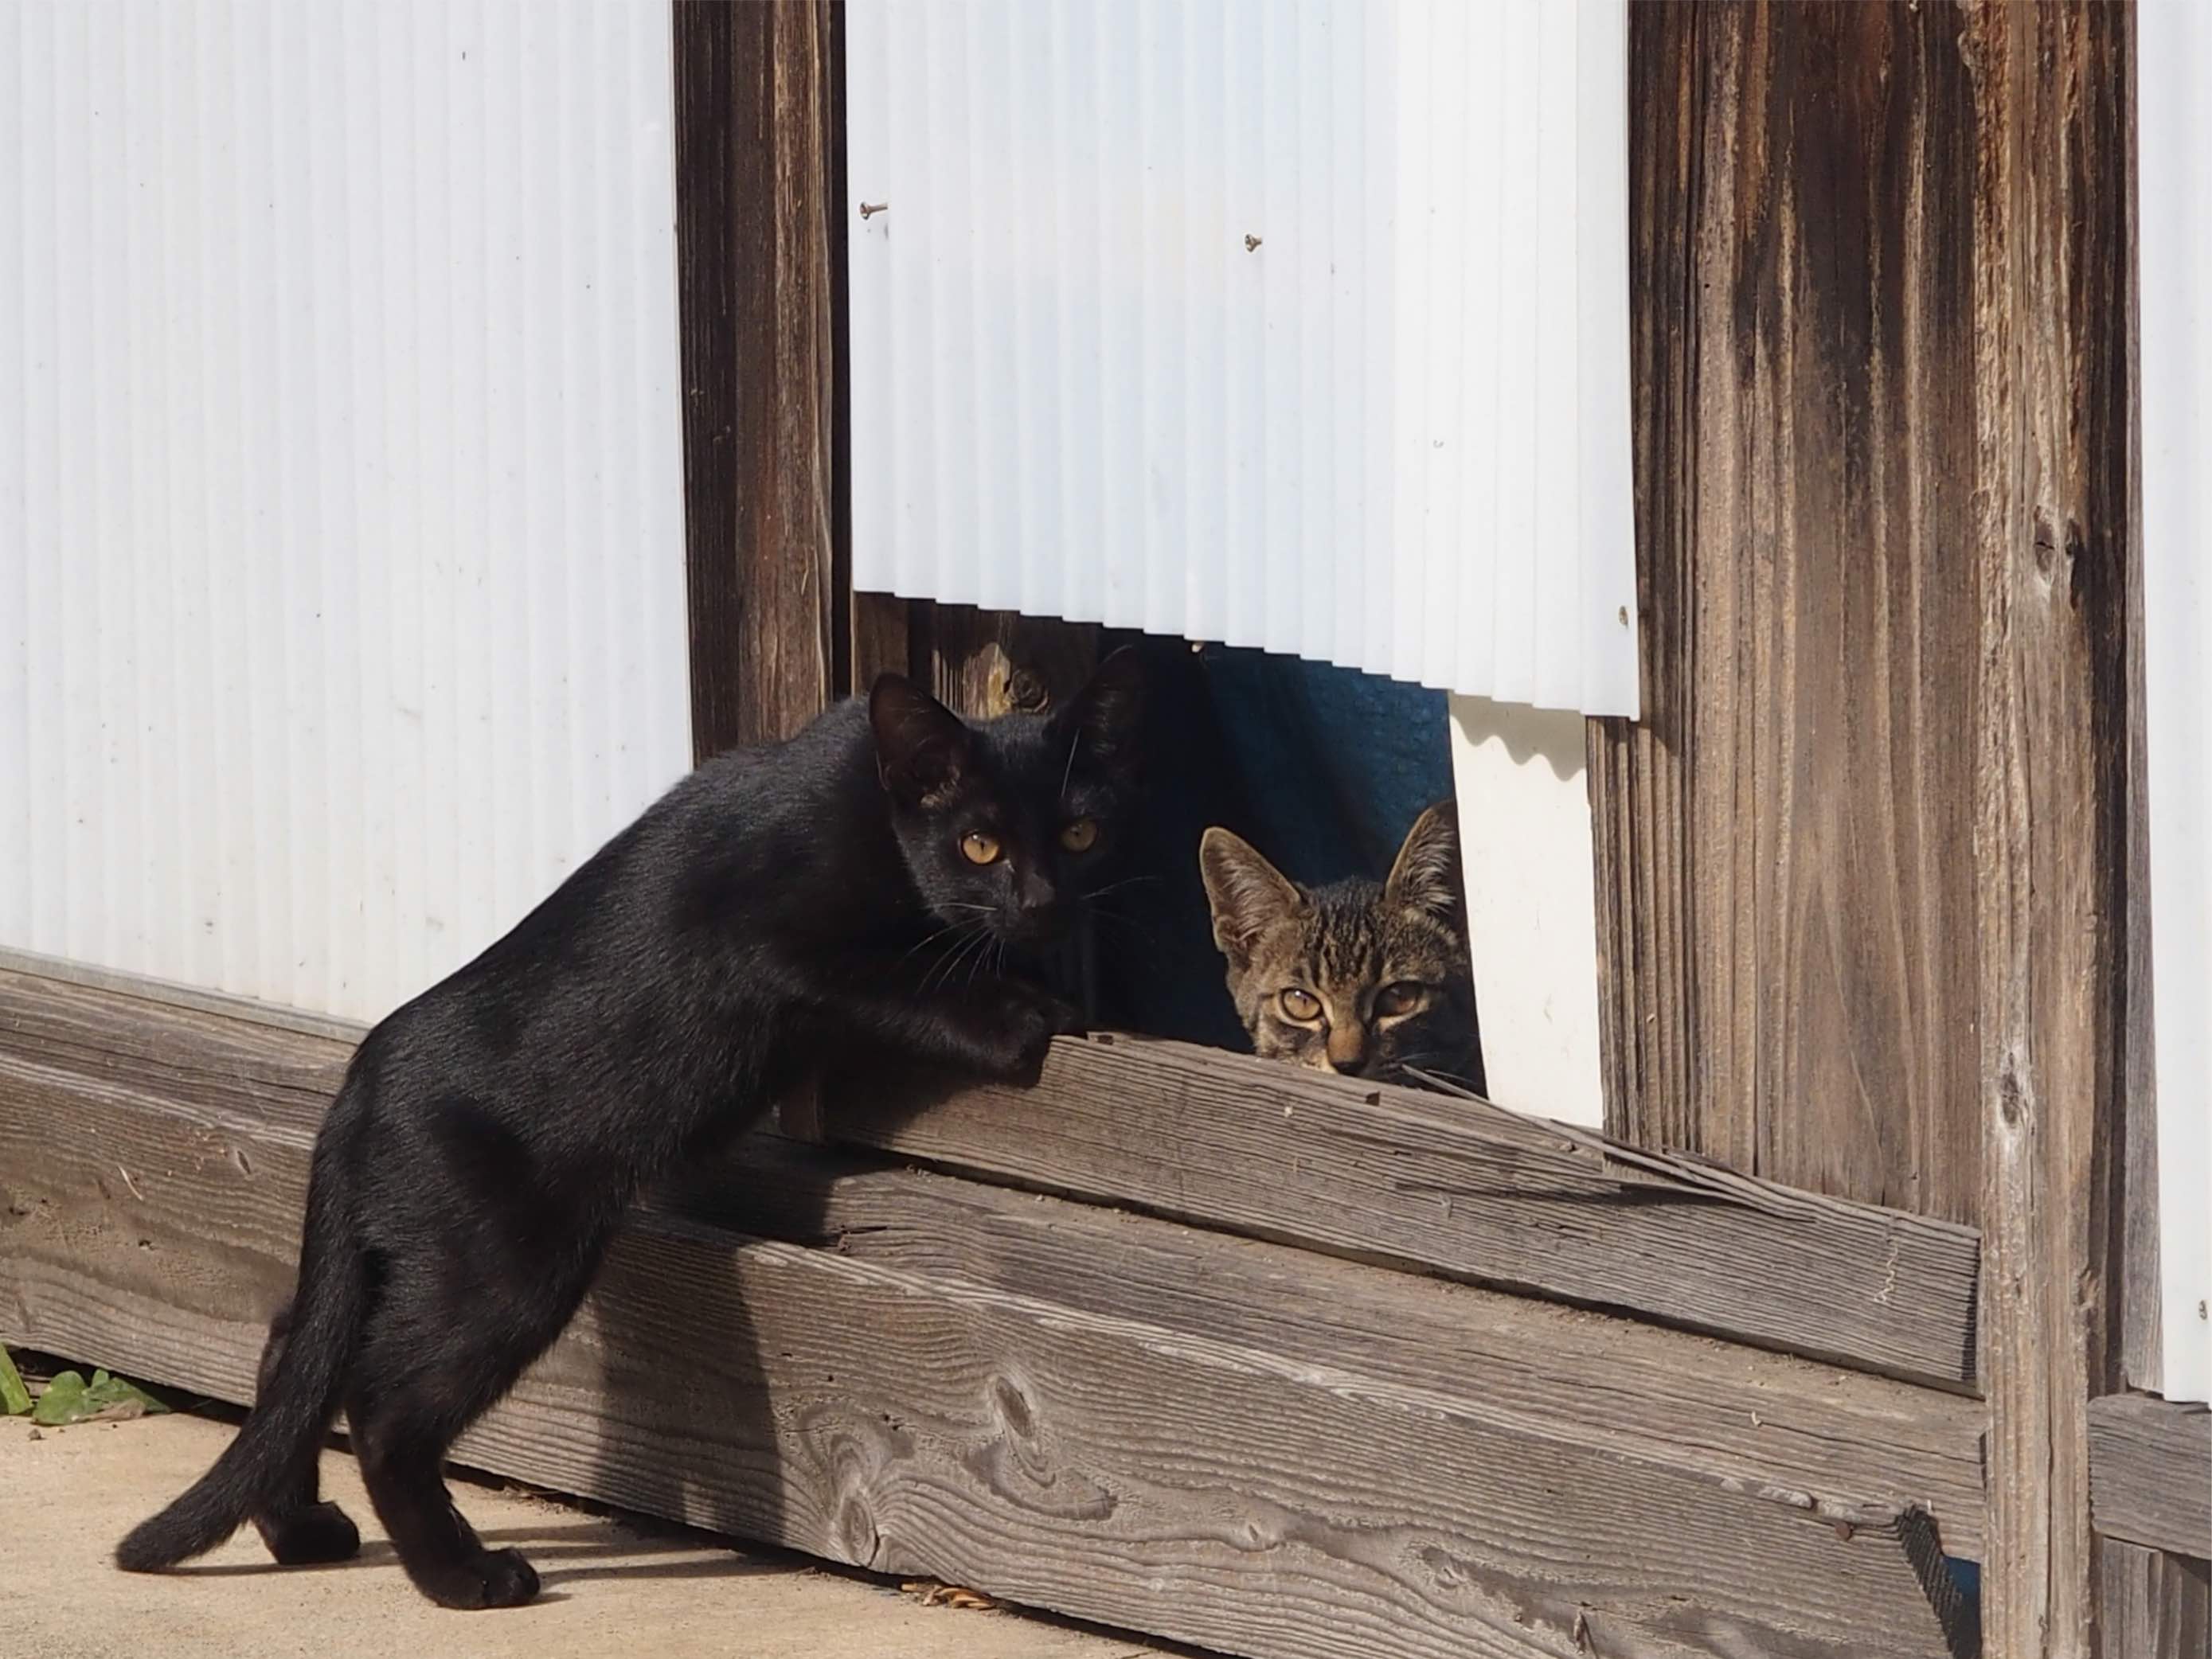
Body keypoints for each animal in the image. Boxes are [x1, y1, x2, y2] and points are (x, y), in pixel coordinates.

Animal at [116, 648, 1146, 1610]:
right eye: (979, 843)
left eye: (1081, 832)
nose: (1042, 901)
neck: (867, 805)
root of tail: (354, 1088)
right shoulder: (778, 946)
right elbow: (913, 970)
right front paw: (1027, 1013)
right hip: (508, 1264)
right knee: (383, 1407)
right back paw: (463, 1575)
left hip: (414, 1259)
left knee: (292, 1347)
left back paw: (301, 1529)